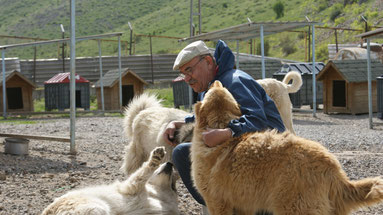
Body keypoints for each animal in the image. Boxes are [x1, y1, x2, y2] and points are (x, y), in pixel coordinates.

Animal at [42, 147, 180, 215]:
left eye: (173, 184)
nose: (170, 163)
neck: (158, 196)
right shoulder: (131, 186)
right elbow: (145, 170)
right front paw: (156, 157)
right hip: (98, 208)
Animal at [191, 80, 383, 215]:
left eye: (209, 92)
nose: (215, 81)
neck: (219, 125)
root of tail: (333, 169)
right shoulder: (243, 205)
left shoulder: (217, 202)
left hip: (294, 207)